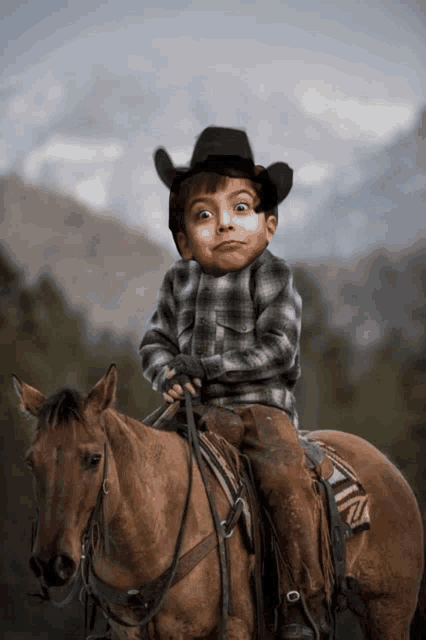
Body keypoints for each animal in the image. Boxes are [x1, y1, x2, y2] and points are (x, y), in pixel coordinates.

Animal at [15, 364, 424, 640]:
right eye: (32, 461)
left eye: (93, 458)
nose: (51, 562)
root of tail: (388, 468)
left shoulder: (234, 627)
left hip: (388, 610)